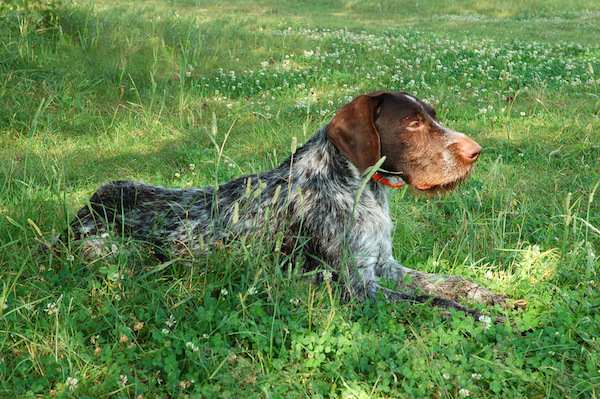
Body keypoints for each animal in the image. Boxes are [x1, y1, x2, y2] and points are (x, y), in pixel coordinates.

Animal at [62, 92, 510, 320]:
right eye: (413, 123)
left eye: (433, 116)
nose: (475, 152)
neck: (358, 186)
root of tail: (85, 210)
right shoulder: (358, 289)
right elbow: (436, 301)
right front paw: (485, 318)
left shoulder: (385, 267)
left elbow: (451, 283)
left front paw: (493, 297)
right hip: (117, 253)